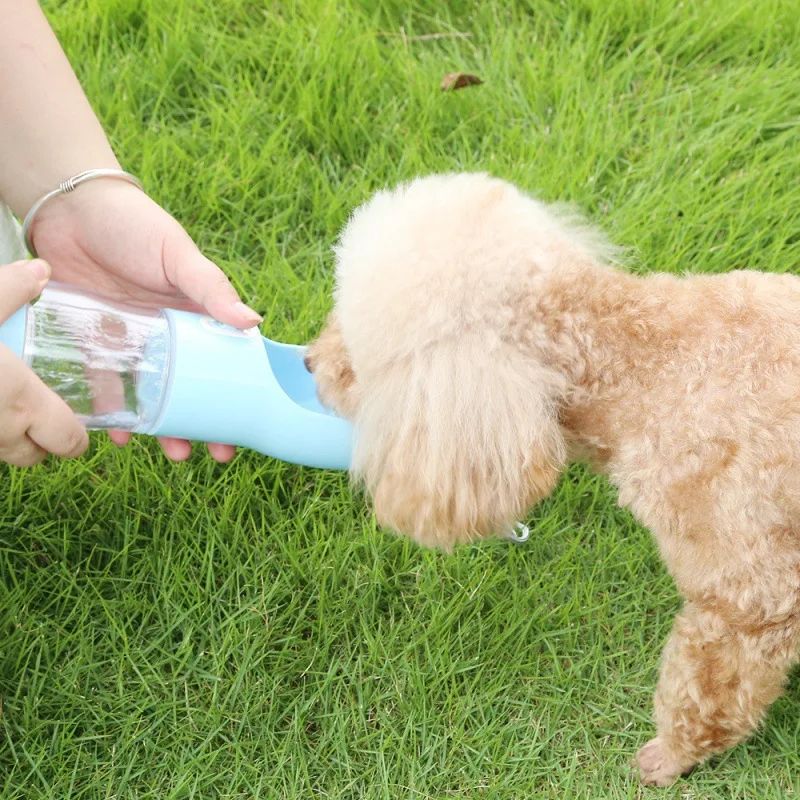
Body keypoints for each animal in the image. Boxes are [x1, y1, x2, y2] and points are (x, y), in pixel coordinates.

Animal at [304, 173, 800, 780]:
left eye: (358, 359)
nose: (307, 361)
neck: (645, 367)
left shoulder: (749, 598)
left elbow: (708, 691)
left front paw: (672, 756)